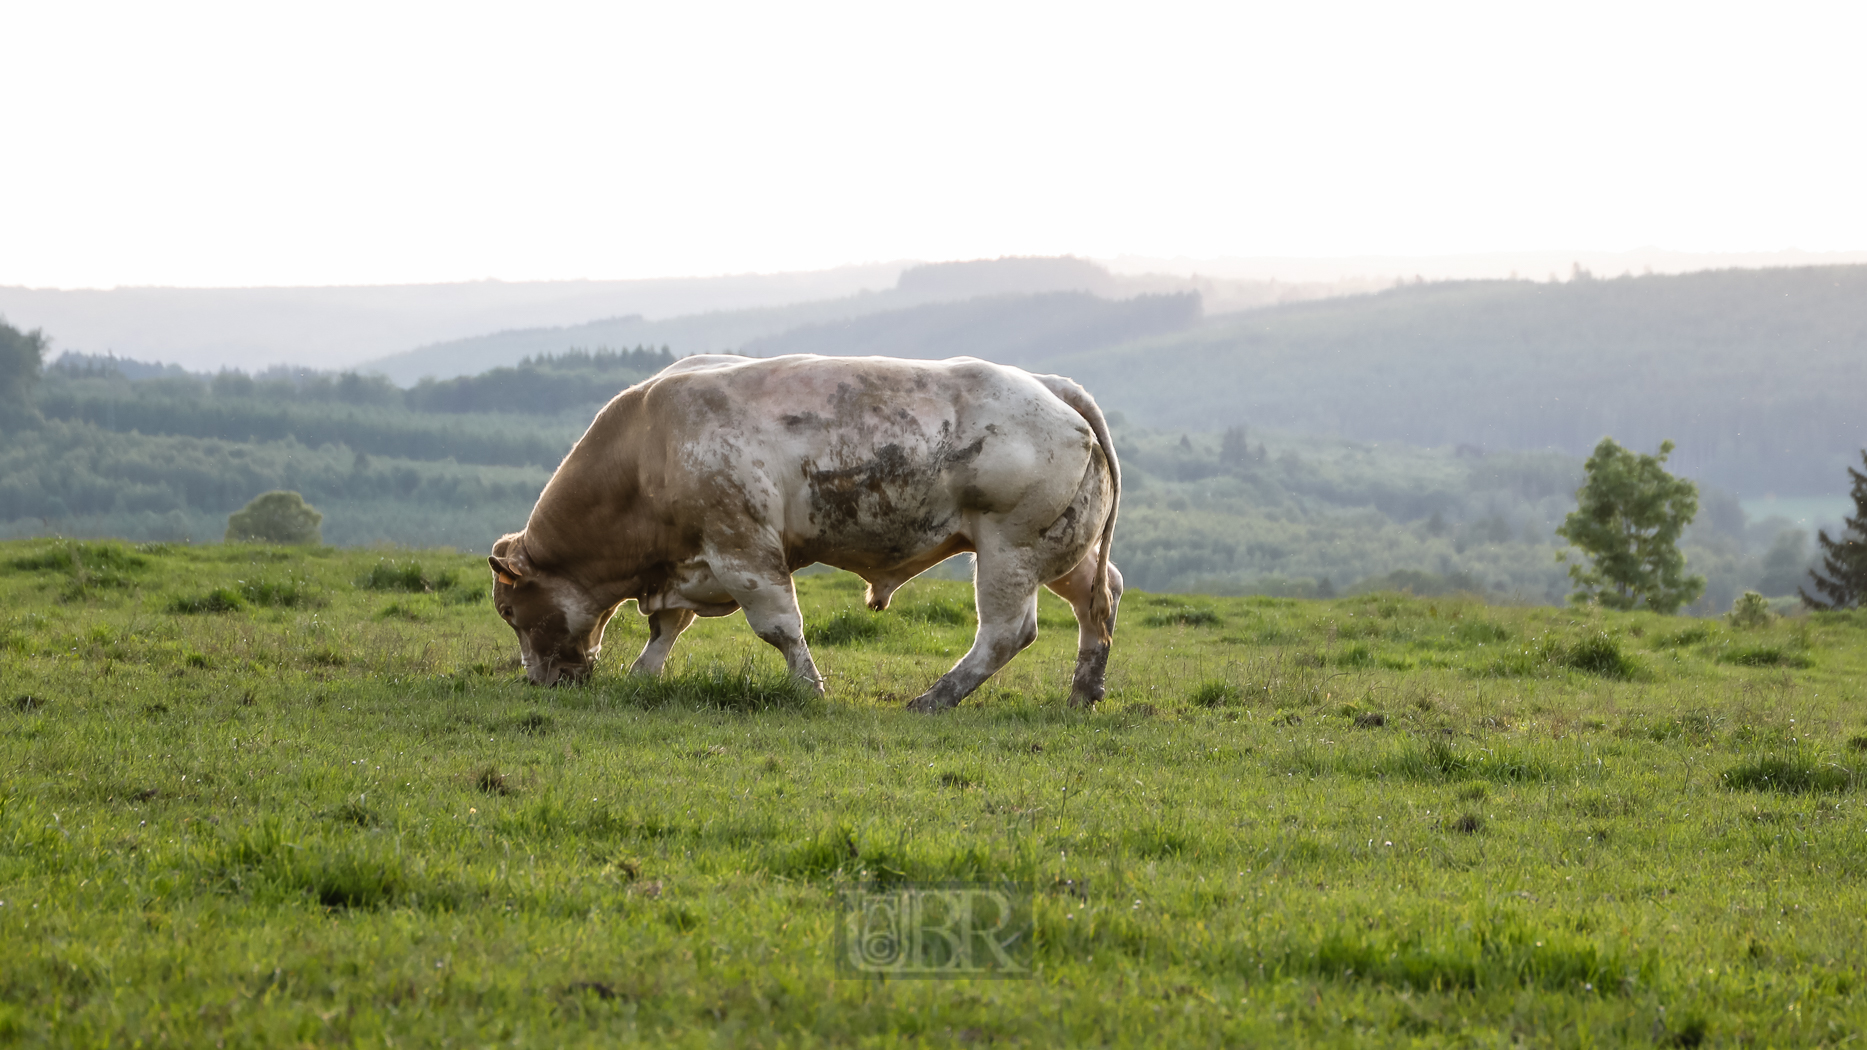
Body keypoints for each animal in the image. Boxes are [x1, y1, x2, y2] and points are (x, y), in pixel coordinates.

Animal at [485, 353, 1120, 709]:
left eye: (510, 611)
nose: (539, 682)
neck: (646, 450)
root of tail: (1049, 385)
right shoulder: (691, 560)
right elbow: (667, 627)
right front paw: (642, 677)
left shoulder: (743, 548)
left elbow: (780, 627)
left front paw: (810, 689)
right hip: (1062, 549)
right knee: (1102, 597)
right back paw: (1083, 692)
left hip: (1009, 548)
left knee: (1008, 633)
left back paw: (933, 700)